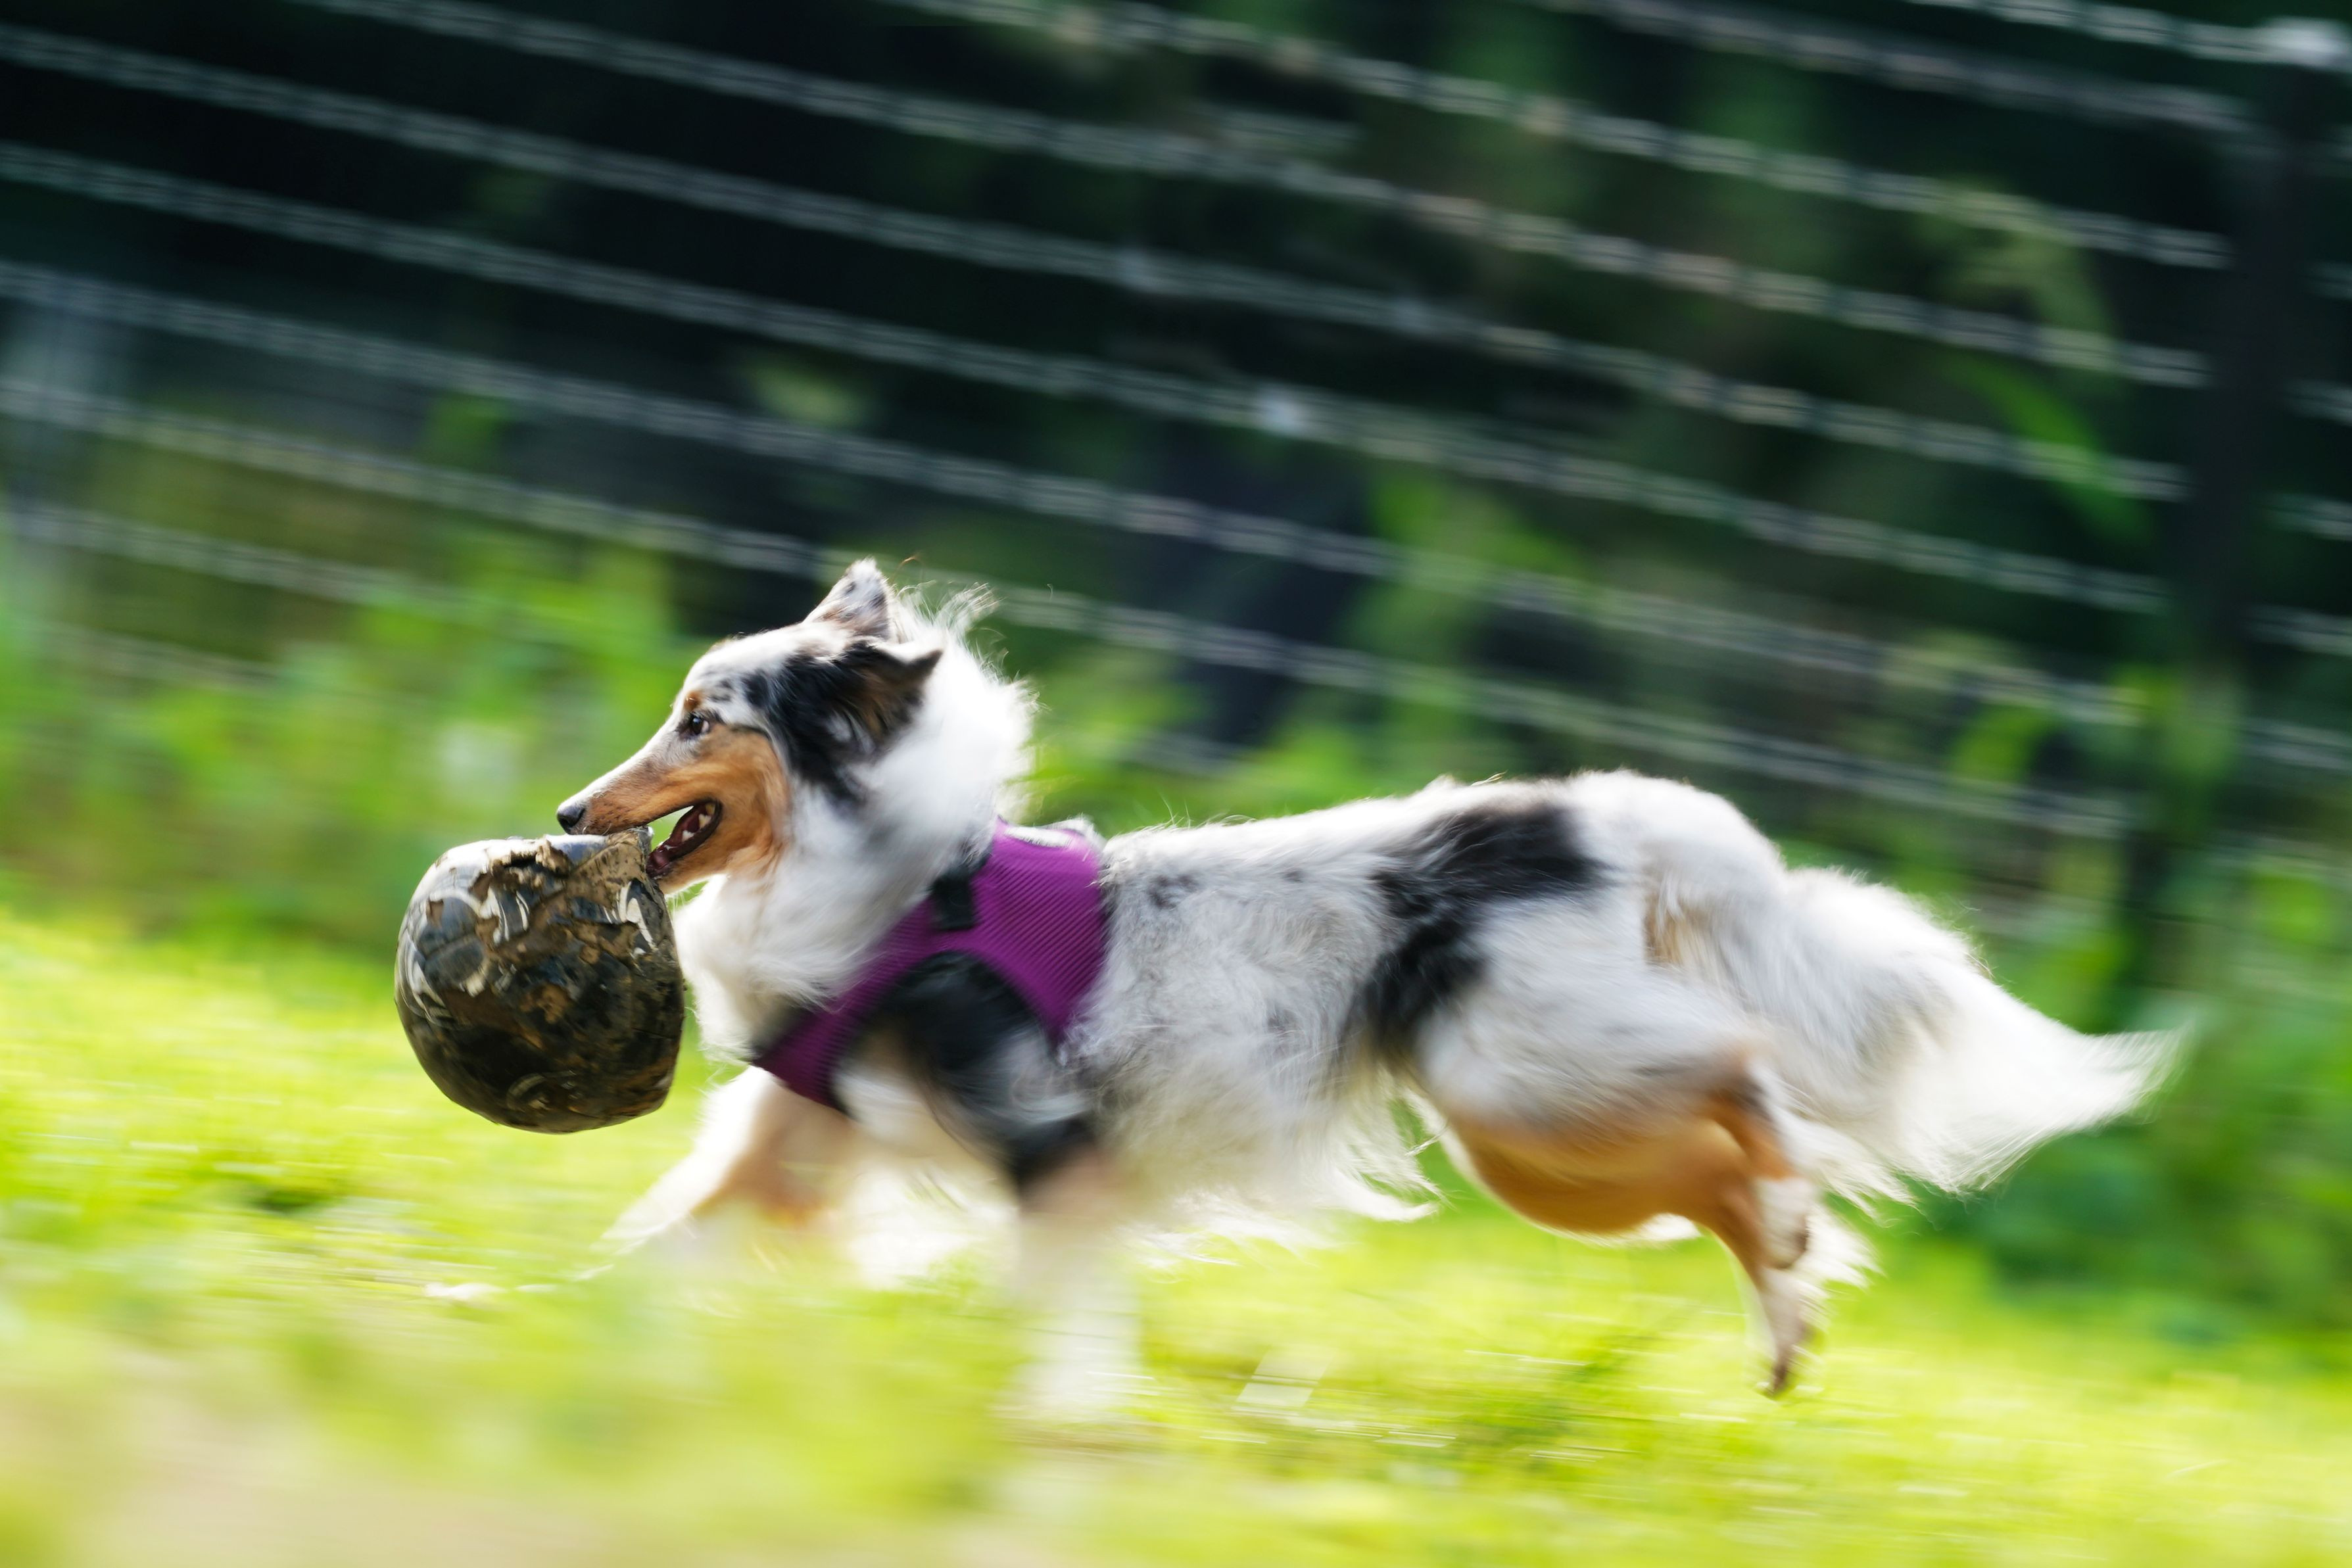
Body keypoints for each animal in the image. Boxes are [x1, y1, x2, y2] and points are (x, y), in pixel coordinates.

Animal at [557, 560, 2171, 1400]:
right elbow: (650, 1248)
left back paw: (1785, 1239)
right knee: (1722, 1171)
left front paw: (1067, 1418)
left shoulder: (1049, 1149)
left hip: (1528, 1079)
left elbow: (1061, 1310)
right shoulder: (795, 1146)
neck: (901, 886)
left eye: (701, 718)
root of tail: (1599, 824)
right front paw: (538, 1323)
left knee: (1749, 1069)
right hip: (1540, 1143)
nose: (570, 814)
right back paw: (1784, 1310)